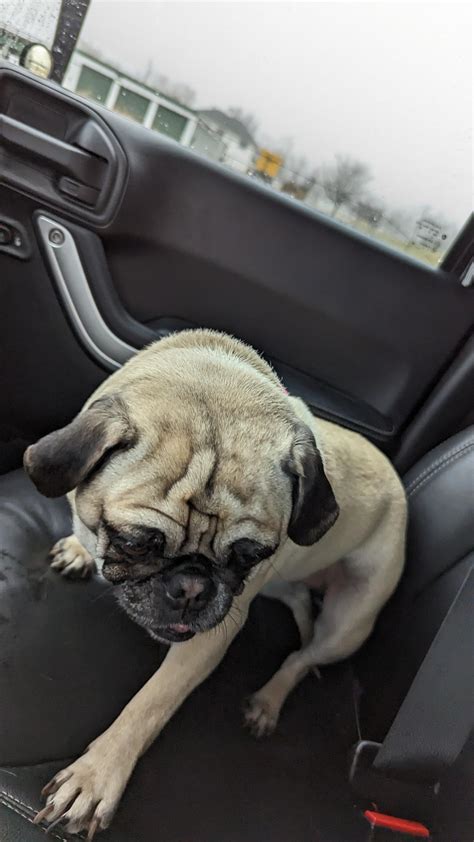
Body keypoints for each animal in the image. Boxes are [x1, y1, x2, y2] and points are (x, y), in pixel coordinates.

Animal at [24, 328, 406, 832]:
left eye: (249, 556)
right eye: (137, 543)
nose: (191, 586)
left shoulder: (208, 638)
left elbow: (149, 705)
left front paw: (97, 774)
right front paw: (79, 545)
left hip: (350, 623)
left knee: (303, 657)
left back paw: (269, 700)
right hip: (291, 586)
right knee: (299, 600)